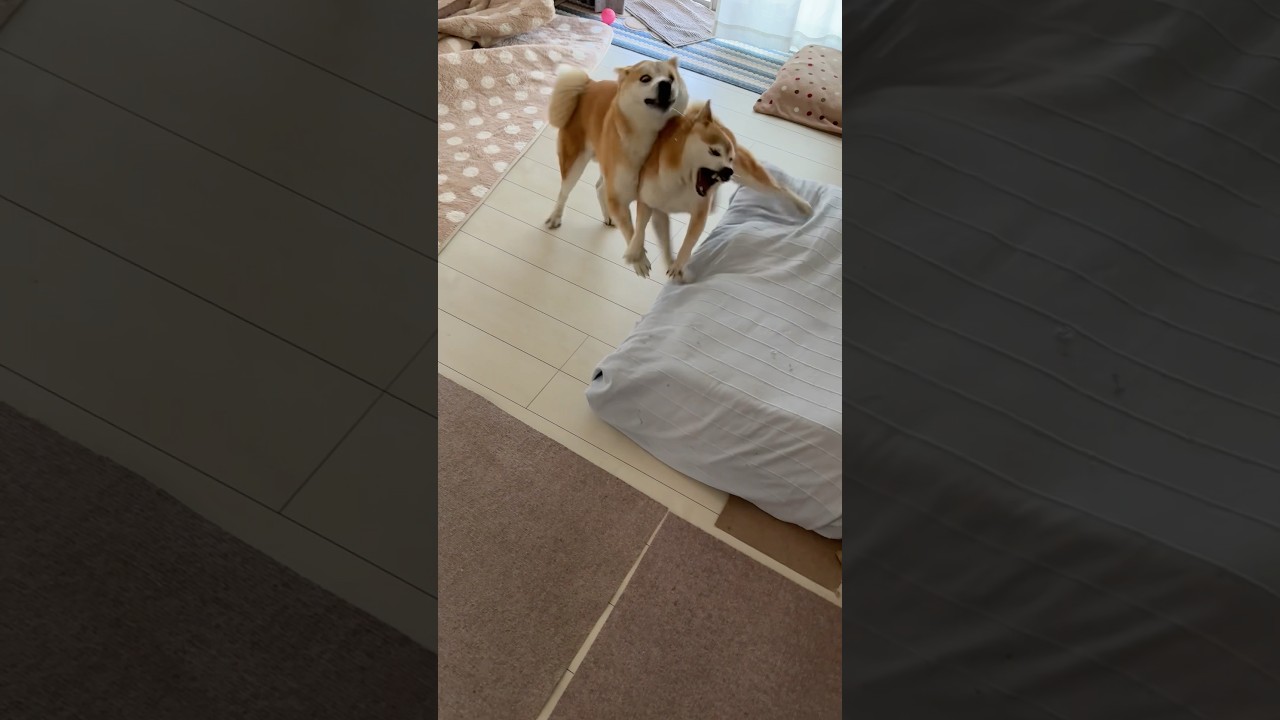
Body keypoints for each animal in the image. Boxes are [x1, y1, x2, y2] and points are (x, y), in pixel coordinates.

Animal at [544, 58, 689, 247]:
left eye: (671, 78)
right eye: (645, 78)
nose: (665, 84)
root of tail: (590, 84)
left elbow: (639, 229)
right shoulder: (619, 190)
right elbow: (631, 232)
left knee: (599, 187)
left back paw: (609, 217)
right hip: (575, 162)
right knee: (565, 191)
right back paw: (556, 217)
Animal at [625, 100, 812, 282]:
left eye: (730, 158)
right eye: (714, 152)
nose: (728, 171)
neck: (681, 184)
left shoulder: (699, 213)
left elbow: (689, 241)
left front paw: (679, 265)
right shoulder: (652, 204)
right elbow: (646, 231)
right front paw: (636, 253)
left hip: (751, 178)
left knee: (780, 188)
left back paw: (803, 205)